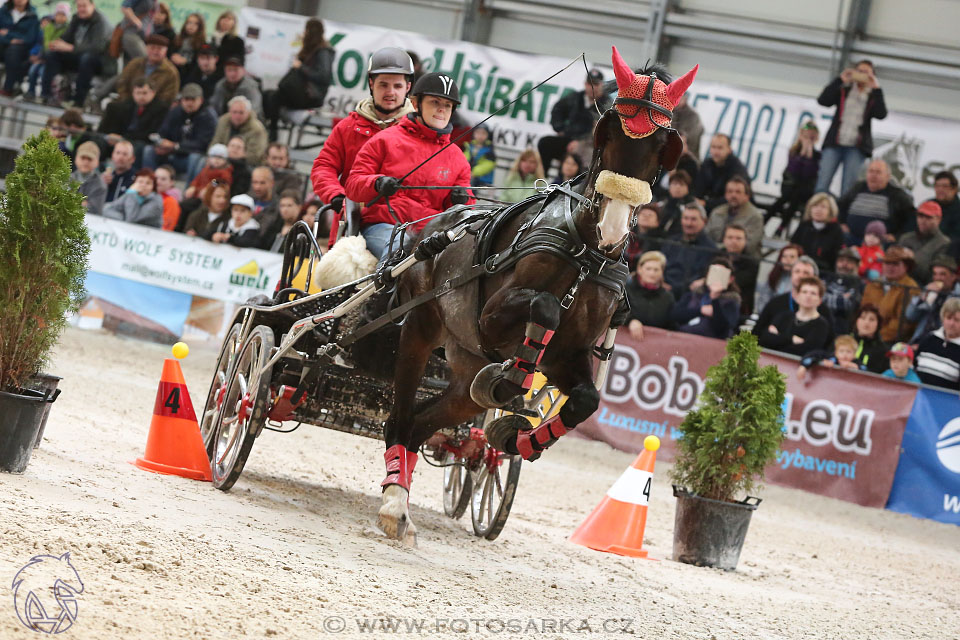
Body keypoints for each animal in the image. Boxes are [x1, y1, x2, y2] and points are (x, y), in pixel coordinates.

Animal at [374, 47, 696, 544]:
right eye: (608, 133)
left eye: (662, 144)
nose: (614, 228)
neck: (584, 252)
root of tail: (427, 229)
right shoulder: (492, 319)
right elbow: (543, 307)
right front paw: (509, 380)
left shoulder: (569, 352)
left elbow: (585, 400)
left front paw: (513, 436)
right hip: (421, 329)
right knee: (402, 419)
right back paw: (394, 503)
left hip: (463, 369)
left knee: (424, 423)